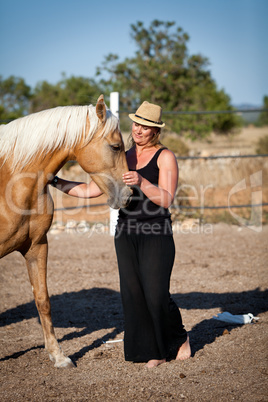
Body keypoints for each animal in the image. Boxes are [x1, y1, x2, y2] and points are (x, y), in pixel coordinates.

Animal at [0, 95, 132, 368]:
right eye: (115, 146)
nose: (128, 195)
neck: (10, 181)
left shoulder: (36, 247)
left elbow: (43, 300)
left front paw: (58, 356)